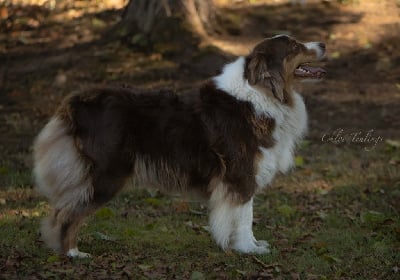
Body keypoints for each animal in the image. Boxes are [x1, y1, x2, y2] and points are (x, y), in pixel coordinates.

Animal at [33, 35, 324, 258]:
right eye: (294, 46)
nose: (323, 44)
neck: (263, 93)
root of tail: (79, 101)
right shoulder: (240, 175)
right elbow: (244, 217)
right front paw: (247, 249)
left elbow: (244, 215)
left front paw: (251, 245)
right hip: (108, 175)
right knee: (68, 212)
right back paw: (73, 253)